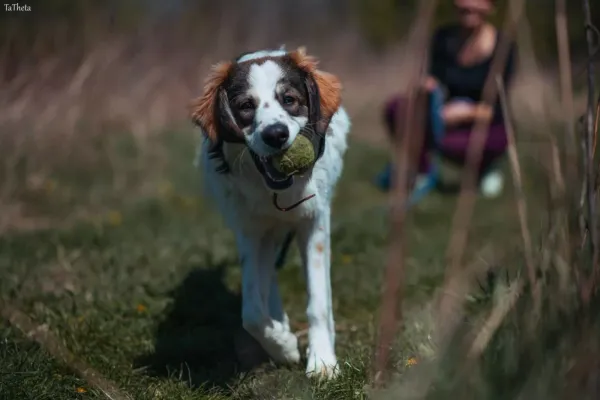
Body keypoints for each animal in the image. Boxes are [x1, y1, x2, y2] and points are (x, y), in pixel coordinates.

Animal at [191, 47, 352, 378]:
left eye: (289, 99)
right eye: (245, 106)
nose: (276, 134)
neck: (277, 194)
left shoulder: (314, 222)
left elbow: (318, 299)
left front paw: (322, 362)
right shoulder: (250, 230)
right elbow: (252, 311)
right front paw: (284, 346)